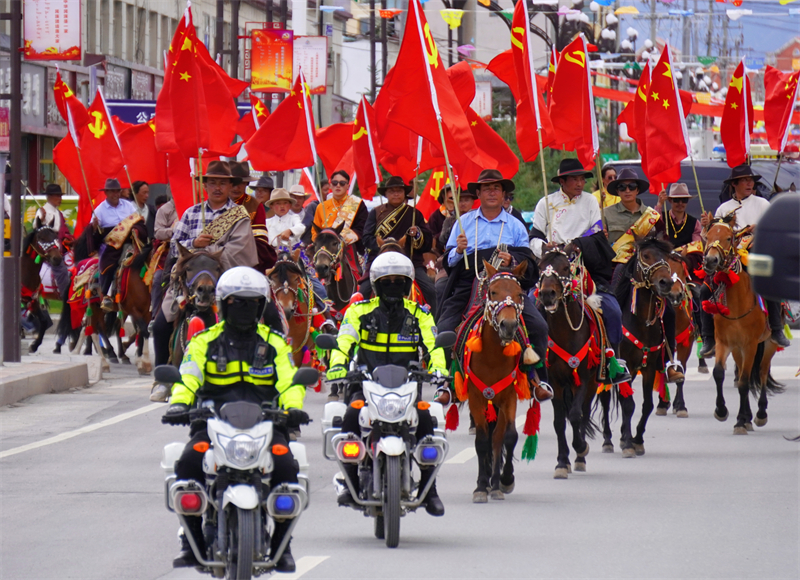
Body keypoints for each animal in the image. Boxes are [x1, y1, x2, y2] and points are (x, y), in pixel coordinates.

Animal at [456, 262, 536, 502]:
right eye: (492, 292)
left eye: (520, 294)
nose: (508, 325)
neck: (491, 356)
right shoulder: (476, 398)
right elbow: (482, 441)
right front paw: (481, 487)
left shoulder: (509, 397)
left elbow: (508, 437)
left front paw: (505, 480)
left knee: (498, 438)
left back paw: (496, 482)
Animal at [536, 247, 600, 478]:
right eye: (540, 266)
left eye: (565, 267)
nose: (547, 294)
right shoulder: (554, 383)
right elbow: (558, 422)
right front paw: (562, 462)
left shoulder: (582, 378)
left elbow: (575, 415)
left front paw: (581, 448)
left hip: (592, 385)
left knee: (583, 412)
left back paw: (580, 456)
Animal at [608, 236, 676, 458]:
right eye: (645, 256)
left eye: (666, 256)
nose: (666, 282)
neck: (640, 322)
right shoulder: (626, 366)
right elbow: (628, 404)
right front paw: (628, 443)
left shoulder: (649, 367)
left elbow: (647, 405)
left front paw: (636, 439)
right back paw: (607, 440)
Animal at [708, 215, 780, 432]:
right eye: (707, 236)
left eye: (728, 238)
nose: (710, 260)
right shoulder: (724, 342)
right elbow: (719, 373)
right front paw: (722, 411)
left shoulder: (750, 345)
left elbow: (745, 382)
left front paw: (741, 419)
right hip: (737, 348)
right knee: (741, 372)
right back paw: (747, 417)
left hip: (768, 343)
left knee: (762, 372)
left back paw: (760, 414)